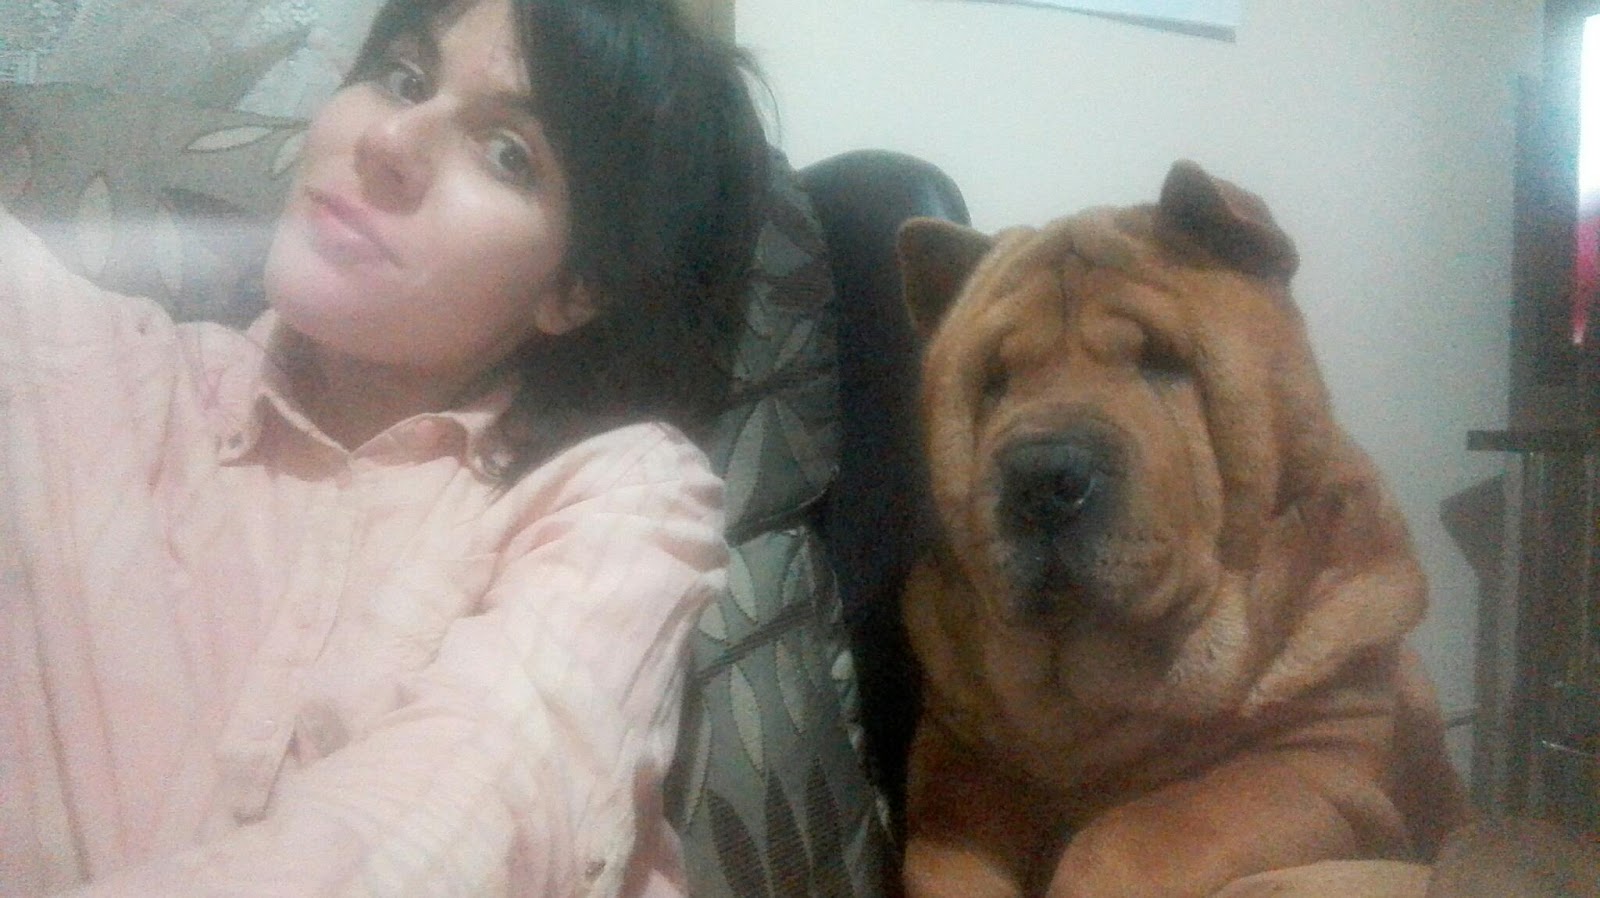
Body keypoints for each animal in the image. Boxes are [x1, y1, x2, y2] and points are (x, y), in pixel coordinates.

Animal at [896, 160, 1470, 898]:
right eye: (995, 380)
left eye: (1161, 361)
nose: (1041, 476)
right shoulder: (953, 770)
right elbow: (943, 857)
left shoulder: (1317, 764)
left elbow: (1130, 834)